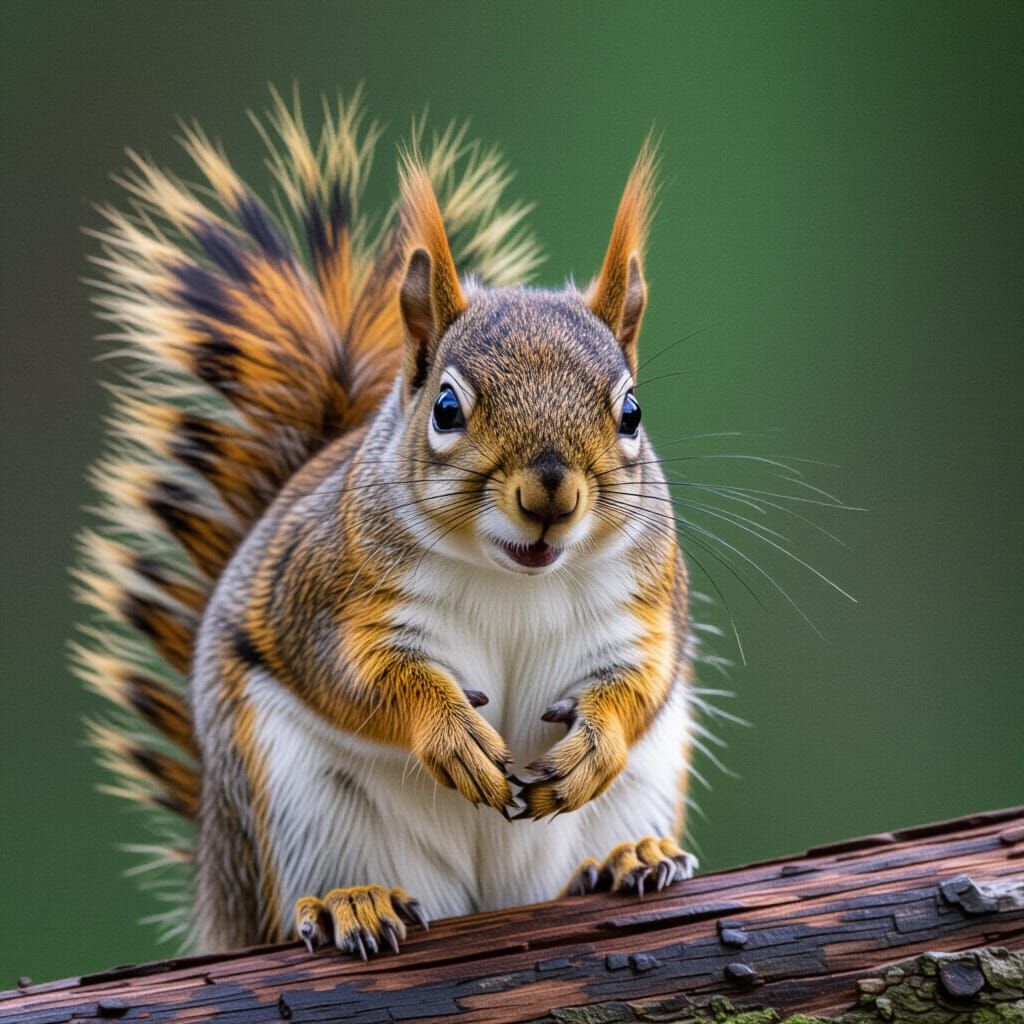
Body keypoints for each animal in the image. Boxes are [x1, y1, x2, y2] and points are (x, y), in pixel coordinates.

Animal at [74, 91, 698, 958]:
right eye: (446, 407)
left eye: (631, 411)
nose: (551, 494)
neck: (515, 577)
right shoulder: (324, 596)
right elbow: (360, 676)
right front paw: (449, 733)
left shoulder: (641, 607)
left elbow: (641, 683)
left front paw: (594, 745)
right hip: (292, 803)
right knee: (302, 903)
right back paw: (351, 902)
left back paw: (624, 859)